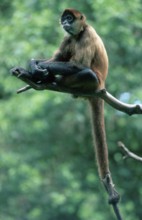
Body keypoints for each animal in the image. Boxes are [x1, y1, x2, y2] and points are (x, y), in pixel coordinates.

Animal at [11, 7, 142, 219]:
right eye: (64, 19)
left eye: (70, 18)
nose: (65, 22)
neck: (80, 32)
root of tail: (101, 88)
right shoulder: (68, 37)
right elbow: (57, 57)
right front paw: (33, 65)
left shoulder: (87, 35)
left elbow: (77, 66)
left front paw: (38, 68)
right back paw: (37, 76)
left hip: (93, 82)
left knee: (85, 72)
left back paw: (47, 78)